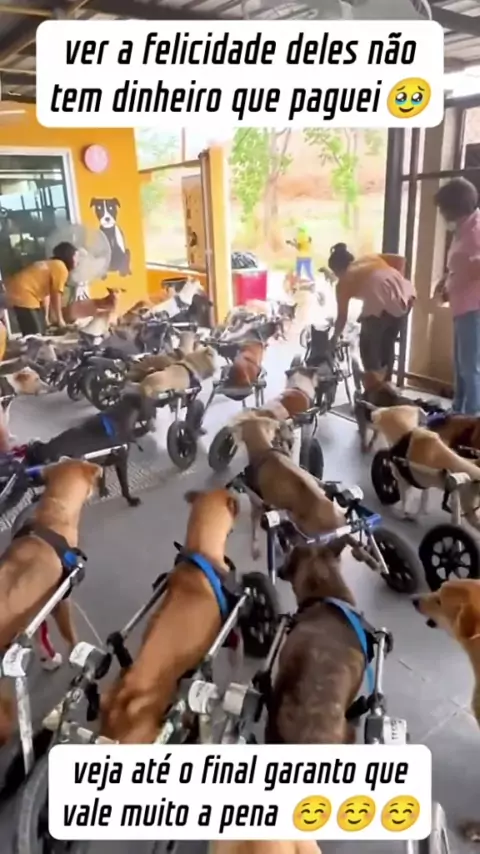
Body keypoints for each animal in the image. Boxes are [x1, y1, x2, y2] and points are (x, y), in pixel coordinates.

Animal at [0, 459, 102, 745]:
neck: (52, 512)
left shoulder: (36, 612)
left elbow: (39, 636)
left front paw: (47, 658)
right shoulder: (61, 601)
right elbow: (71, 636)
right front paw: (76, 655)